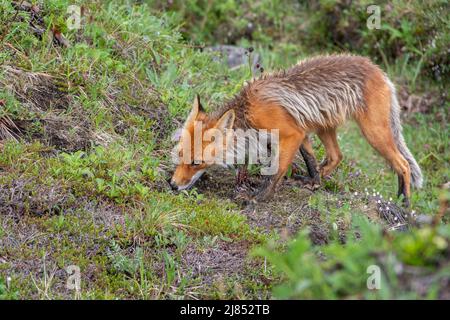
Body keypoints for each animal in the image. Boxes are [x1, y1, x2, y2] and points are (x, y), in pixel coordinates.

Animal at [171, 53, 424, 206]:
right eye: (180, 156)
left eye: (196, 162)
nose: (172, 185)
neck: (248, 112)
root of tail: (380, 71)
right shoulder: (300, 131)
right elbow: (310, 159)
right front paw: (314, 181)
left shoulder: (292, 133)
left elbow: (275, 171)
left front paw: (259, 197)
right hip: (323, 126)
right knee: (336, 156)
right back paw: (317, 180)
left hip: (374, 133)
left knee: (403, 164)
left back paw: (404, 202)